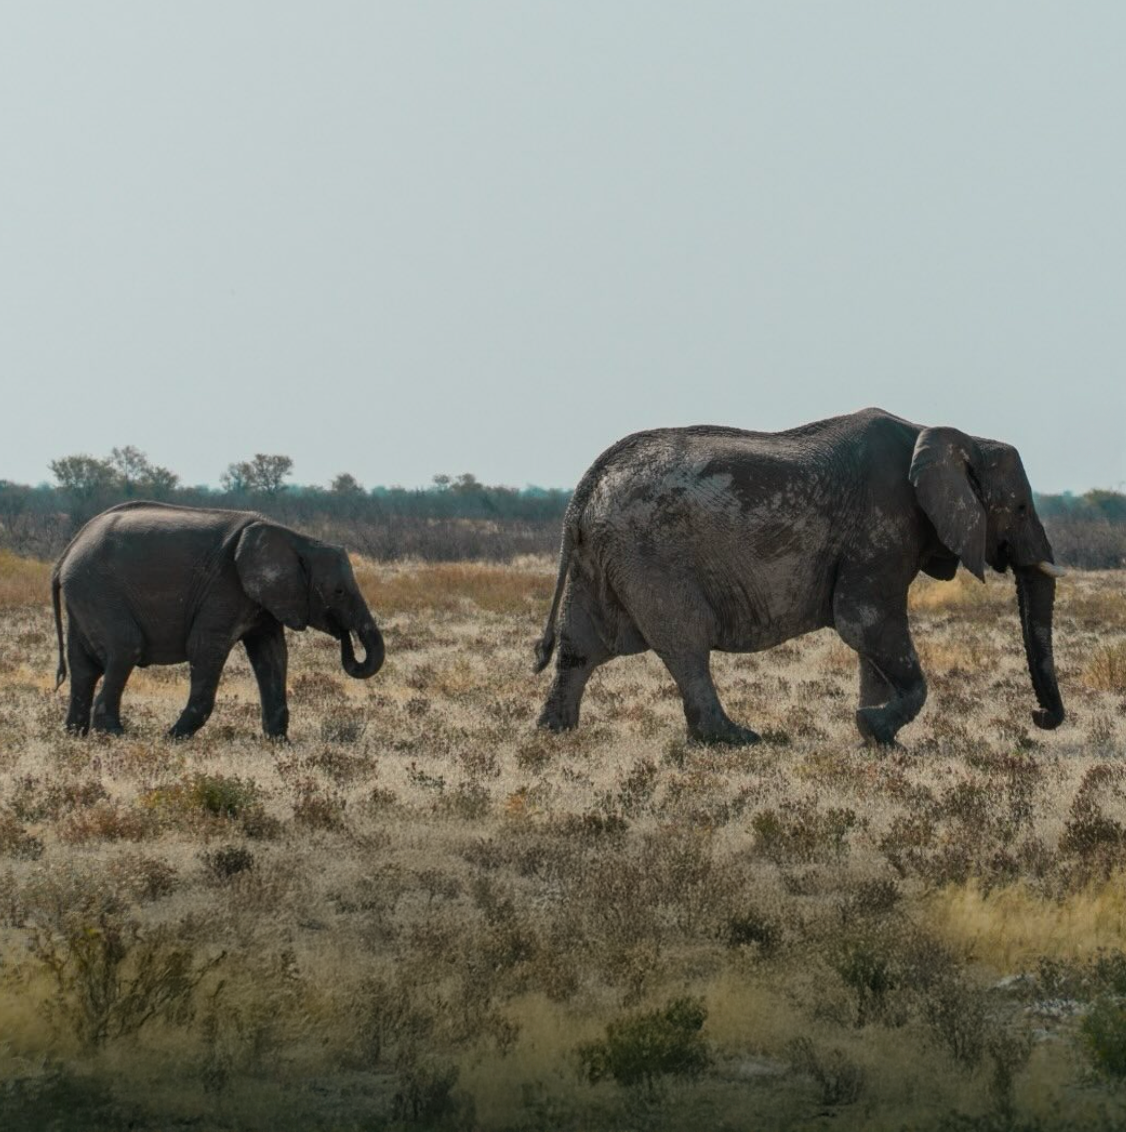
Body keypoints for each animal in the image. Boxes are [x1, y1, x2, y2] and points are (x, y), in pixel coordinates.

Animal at [52, 501, 384, 738]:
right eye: (338, 592)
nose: (345, 635)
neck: (296, 538)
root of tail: (67, 552)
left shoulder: (260, 600)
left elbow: (272, 653)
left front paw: (280, 745)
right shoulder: (225, 587)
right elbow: (206, 648)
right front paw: (171, 739)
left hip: (84, 595)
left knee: (84, 667)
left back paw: (75, 736)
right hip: (97, 590)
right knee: (124, 650)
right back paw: (115, 736)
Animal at [534, 408, 1065, 746]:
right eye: (1020, 508)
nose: (1040, 717)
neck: (948, 434)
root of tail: (585, 489)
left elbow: (869, 638)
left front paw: (877, 738)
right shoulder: (882, 524)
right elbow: (862, 621)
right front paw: (874, 727)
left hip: (599, 557)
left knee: (579, 645)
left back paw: (554, 732)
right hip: (650, 556)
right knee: (686, 644)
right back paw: (736, 739)